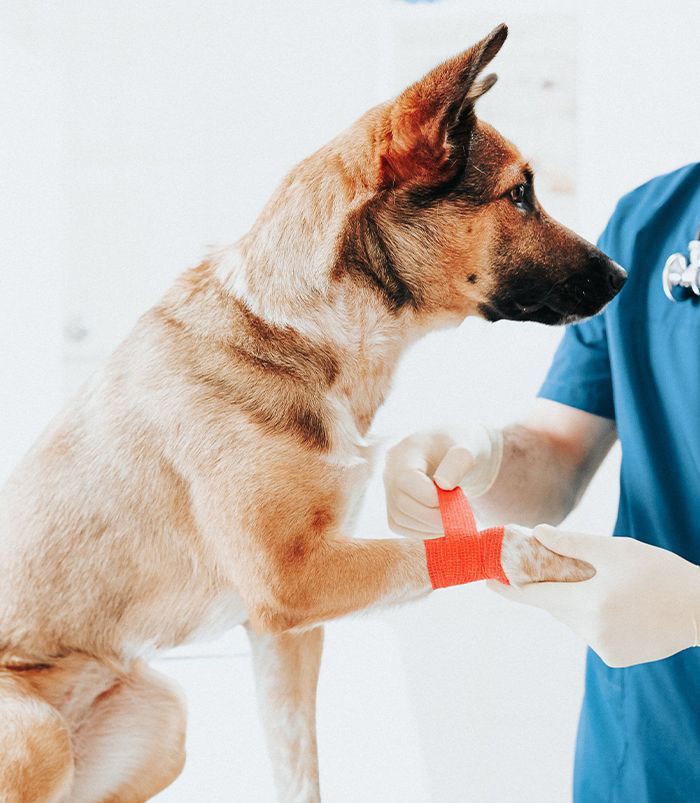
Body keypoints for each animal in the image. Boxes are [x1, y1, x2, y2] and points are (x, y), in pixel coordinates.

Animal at [0, 25, 624, 803]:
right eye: (519, 194)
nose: (623, 276)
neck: (309, 334)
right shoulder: (290, 584)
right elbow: (472, 545)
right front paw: (541, 555)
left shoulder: (286, 635)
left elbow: (299, 769)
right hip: (39, 733)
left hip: (162, 715)